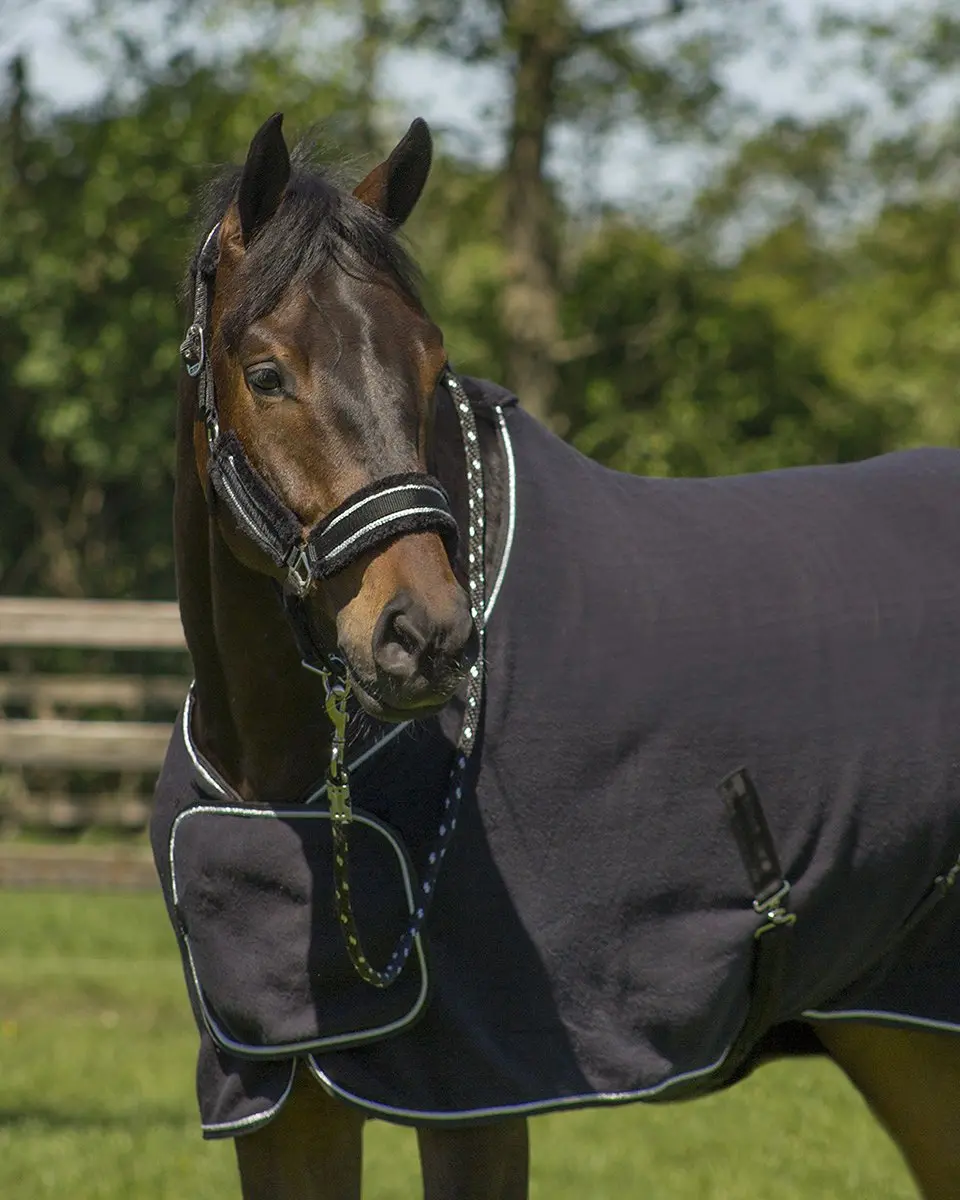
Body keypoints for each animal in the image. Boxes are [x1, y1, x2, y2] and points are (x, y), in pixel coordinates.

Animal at [151, 111, 960, 1199]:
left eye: (430, 367)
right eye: (268, 372)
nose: (427, 637)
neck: (279, 783)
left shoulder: (476, 1091)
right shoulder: (283, 1095)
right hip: (899, 1033)